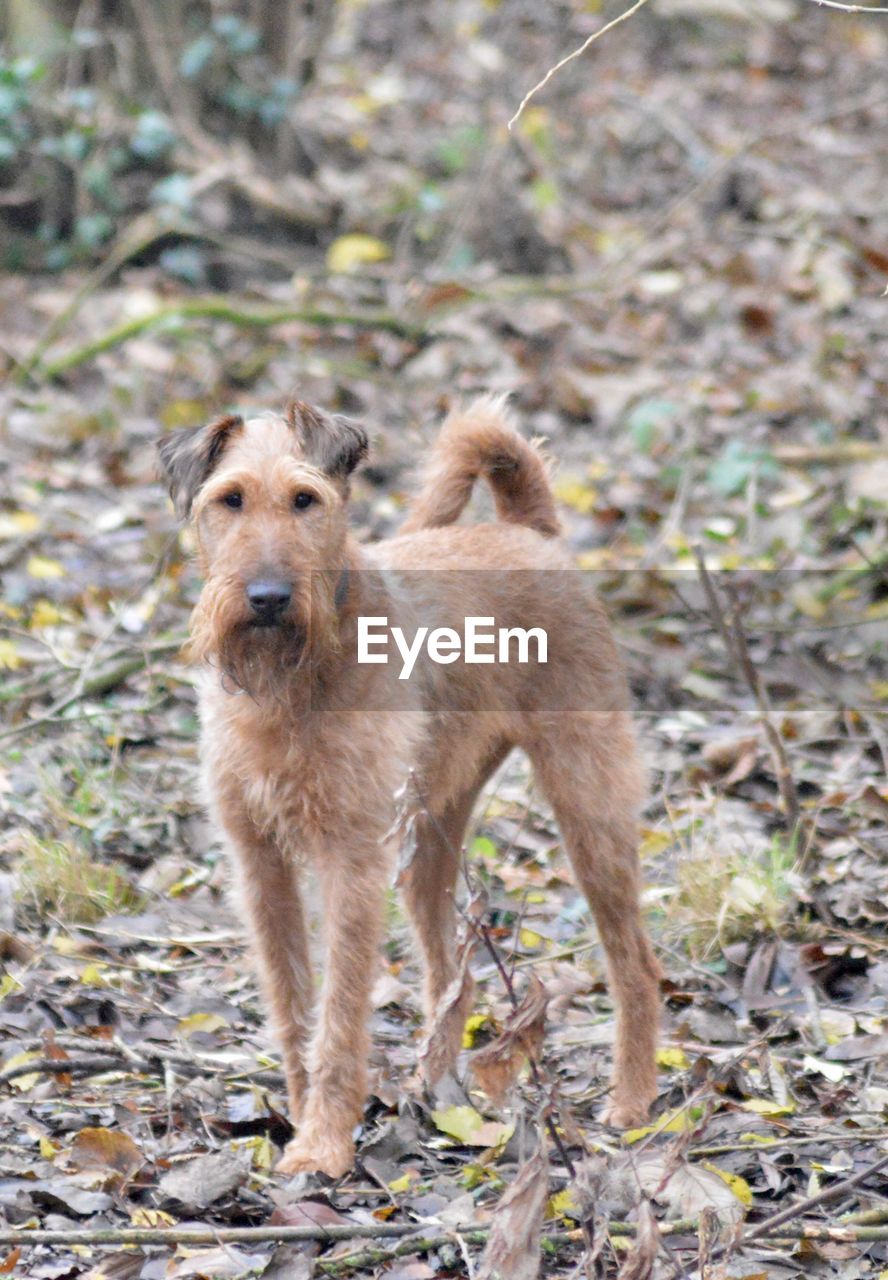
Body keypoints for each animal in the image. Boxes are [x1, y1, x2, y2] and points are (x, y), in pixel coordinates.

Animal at [158, 394, 660, 1172]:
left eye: (305, 500)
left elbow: (338, 1017)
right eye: (229, 499)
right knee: (454, 976)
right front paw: (302, 1116)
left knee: (634, 961)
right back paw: (435, 1090)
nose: (267, 597)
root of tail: (529, 530)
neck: (290, 683)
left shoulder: (352, 863)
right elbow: (292, 1005)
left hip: (588, 801)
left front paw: (323, 1145)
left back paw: (632, 1102)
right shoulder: (259, 864)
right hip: (431, 836)